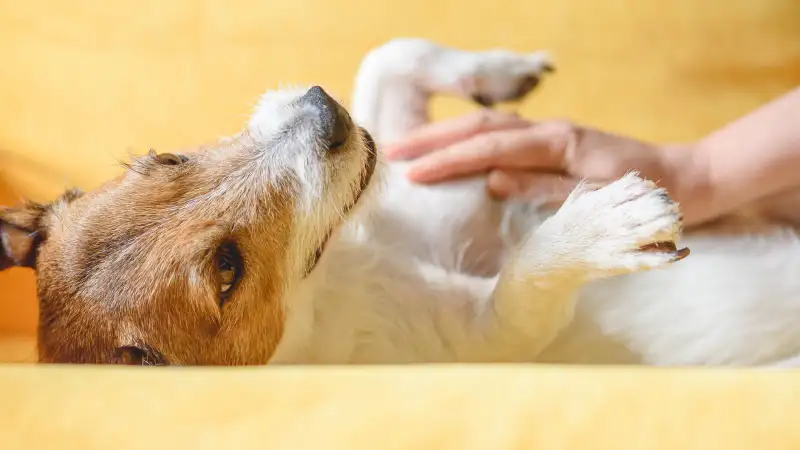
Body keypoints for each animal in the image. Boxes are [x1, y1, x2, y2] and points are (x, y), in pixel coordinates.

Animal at [0, 38, 796, 366]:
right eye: (226, 268)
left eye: (165, 158)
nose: (324, 111)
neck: (340, 264)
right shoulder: (487, 340)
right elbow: (526, 278)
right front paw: (600, 227)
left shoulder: (408, 162)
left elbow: (391, 54)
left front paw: (500, 73)